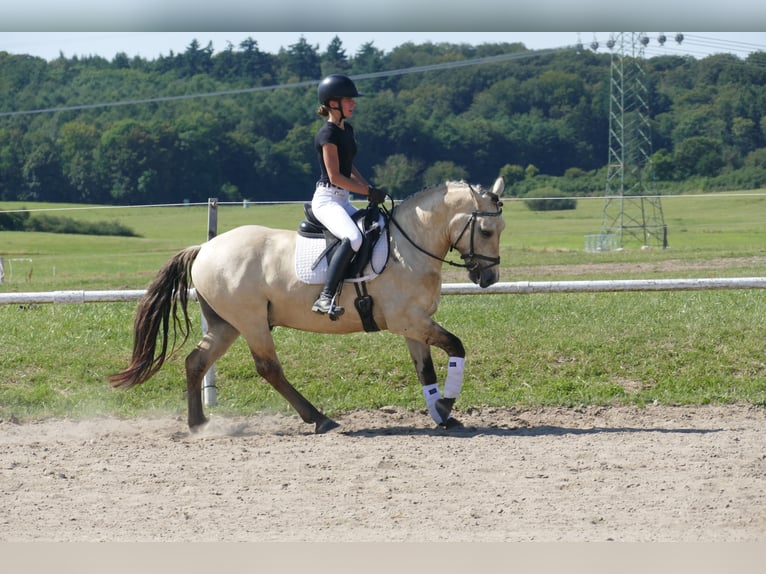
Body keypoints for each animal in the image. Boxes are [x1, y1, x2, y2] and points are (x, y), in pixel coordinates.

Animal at [109, 178, 506, 433]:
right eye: (487, 231)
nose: (489, 277)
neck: (409, 245)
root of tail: (205, 248)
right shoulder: (408, 321)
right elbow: (456, 346)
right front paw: (447, 406)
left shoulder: (414, 324)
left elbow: (425, 371)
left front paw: (441, 414)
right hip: (251, 322)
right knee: (268, 368)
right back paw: (319, 418)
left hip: (226, 325)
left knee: (196, 361)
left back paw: (198, 424)